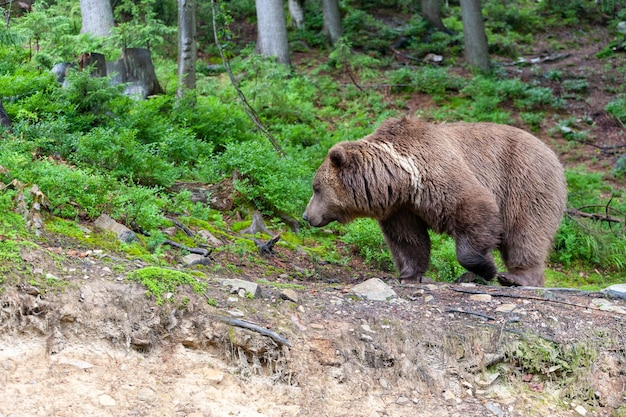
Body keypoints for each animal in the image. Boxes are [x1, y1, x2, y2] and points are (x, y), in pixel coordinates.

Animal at [302, 116, 564, 286]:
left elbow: (475, 209)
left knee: (526, 232)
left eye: (316, 188)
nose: (306, 216)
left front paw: (487, 268)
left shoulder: (440, 175)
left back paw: (516, 278)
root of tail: (552, 153)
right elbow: (407, 239)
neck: (402, 179)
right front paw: (408, 276)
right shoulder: (402, 209)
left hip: (525, 182)